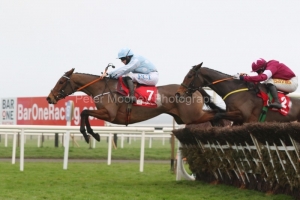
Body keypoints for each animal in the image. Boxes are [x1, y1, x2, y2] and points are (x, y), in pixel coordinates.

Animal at [46, 68, 225, 143]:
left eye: (61, 81)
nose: (49, 98)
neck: (102, 88)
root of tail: (191, 89)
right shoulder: (105, 113)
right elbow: (85, 113)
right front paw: (92, 134)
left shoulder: (109, 114)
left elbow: (84, 112)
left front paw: (90, 134)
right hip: (183, 118)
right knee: (214, 117)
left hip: (191, 116)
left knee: (216, 115)